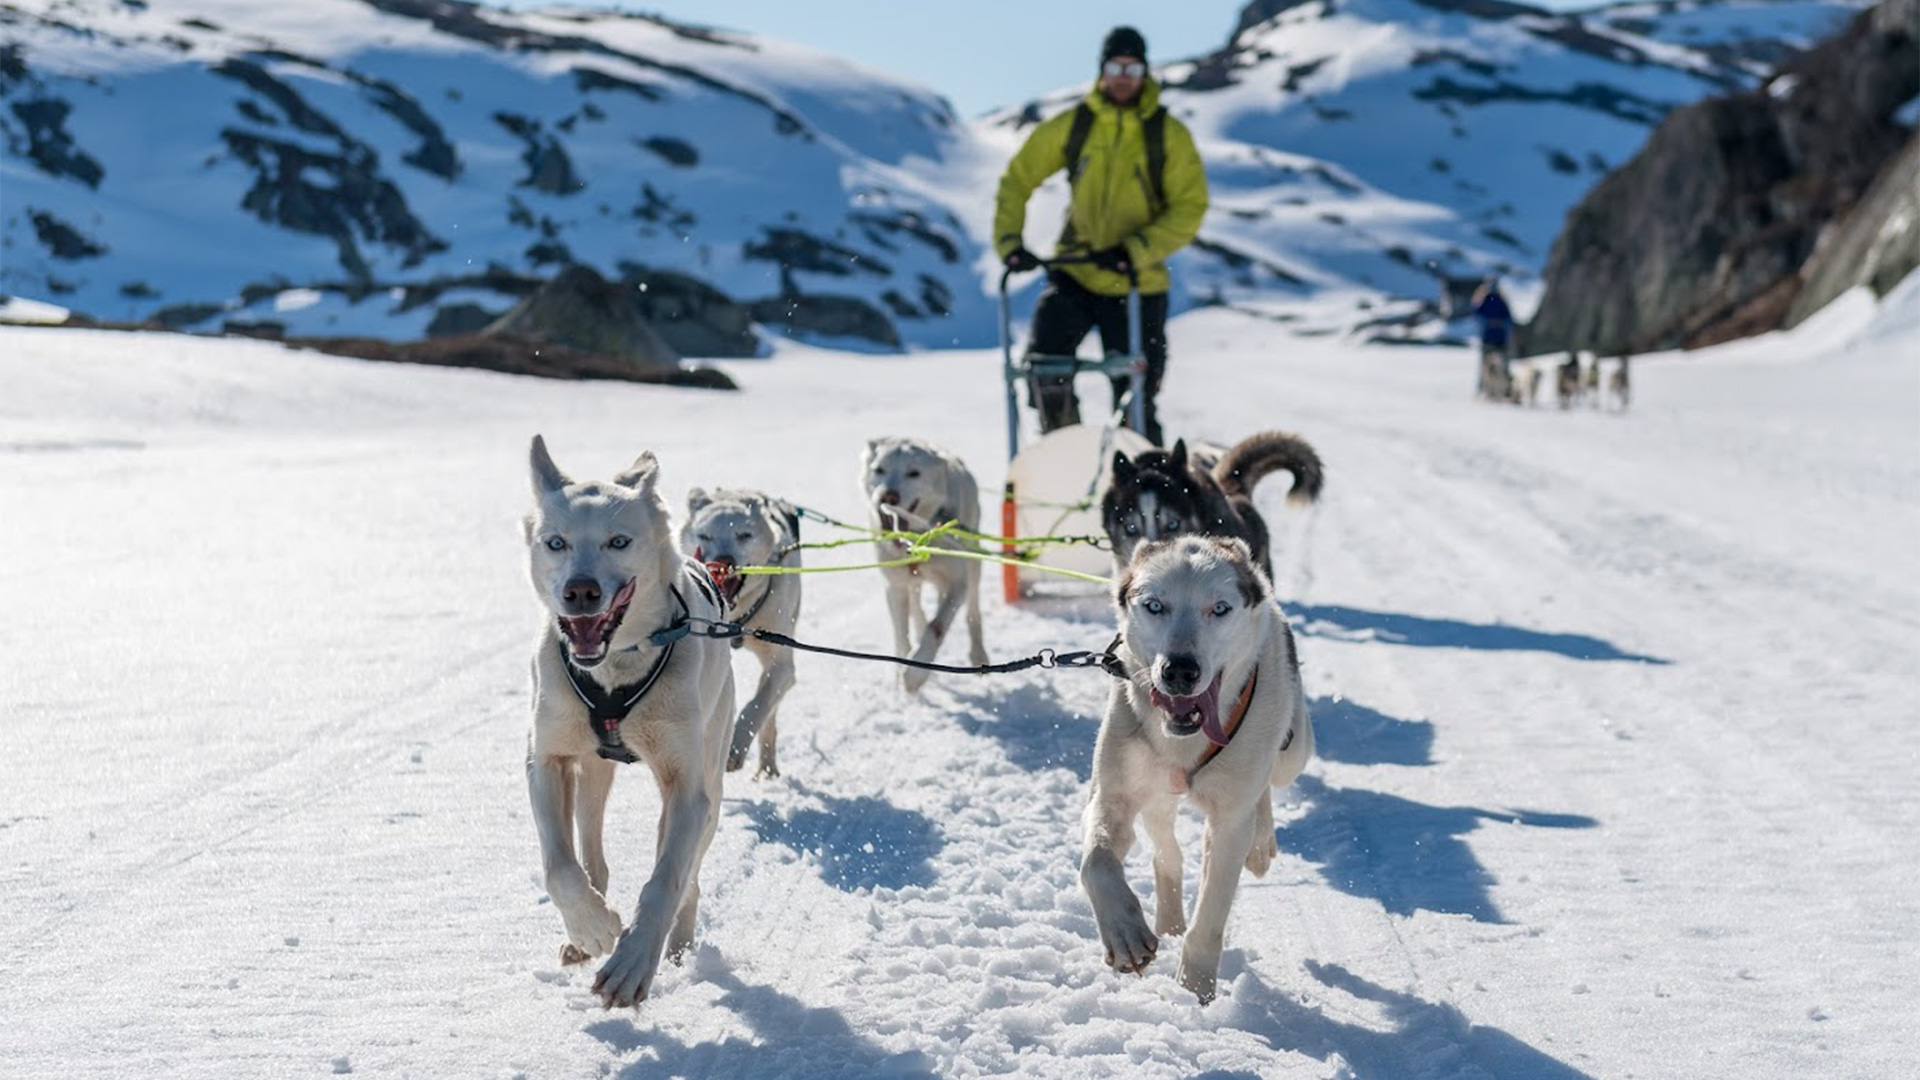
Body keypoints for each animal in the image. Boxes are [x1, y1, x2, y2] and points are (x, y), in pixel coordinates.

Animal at [526, 432, 733, 1006]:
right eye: (556, 543)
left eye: (619, 541)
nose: (580, 591)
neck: (615, 670)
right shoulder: (546, 758)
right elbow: (559, 866)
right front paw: (594, 927)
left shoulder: (687, 789)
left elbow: (665, 882)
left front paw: (633, 962)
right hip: (591, 773)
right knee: (590, 851)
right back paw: (583, 932)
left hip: (712, 782)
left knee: (690, 877)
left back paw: (678, 945)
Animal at [683, 486, 802, 772]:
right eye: (705, 535)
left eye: (744, 535)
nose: (724, 559)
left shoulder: (782, 666)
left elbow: (755, 706)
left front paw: (736, 746)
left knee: (769, 713)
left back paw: (767, 766)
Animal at [867, 434, 990, 691]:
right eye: (879, 469)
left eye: (914, 473)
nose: (888, 496)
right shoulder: (896, 586)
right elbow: (901, 634)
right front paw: (902, 670)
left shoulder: (956, 584)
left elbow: (937, 627)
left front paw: (915, 674)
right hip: (912, 581)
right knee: (917, 610)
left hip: (973, 567)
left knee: (973, 612)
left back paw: (978, 654)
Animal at [1090, 534, 1313, 999]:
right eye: (1155, 605)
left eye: (1220, 608)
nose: (1179, 670)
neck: (1183, 741)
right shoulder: (1112, 796)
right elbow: (1097, 864)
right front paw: (1124, 931)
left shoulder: (1228, 825)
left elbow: (1209, 918)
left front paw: (1193, 990)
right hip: (1156, 791)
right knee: (1166, 850)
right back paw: (1169, 919)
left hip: (1292, 751)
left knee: (1267, 784)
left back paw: (1261, 844)